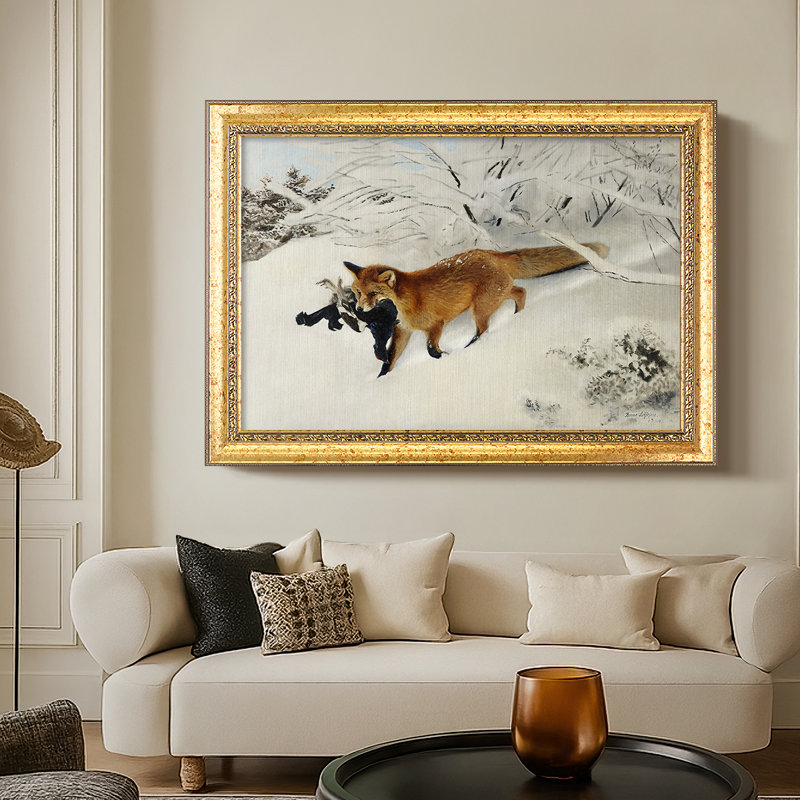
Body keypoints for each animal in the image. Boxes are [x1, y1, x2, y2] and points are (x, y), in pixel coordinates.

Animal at [344, 242, 609, 374]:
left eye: (373, 294)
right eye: (358, 292)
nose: (360, 309)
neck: (406, 301)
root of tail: (489, 253)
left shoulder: (436, 325)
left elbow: (430, 350)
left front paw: (445, 356)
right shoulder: (403, 331)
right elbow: (390, 360)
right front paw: (381, 379)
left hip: (480, 308)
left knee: (484, 330)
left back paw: (472, 346)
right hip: (495, 296)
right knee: (521, 291)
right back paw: (517, 316)